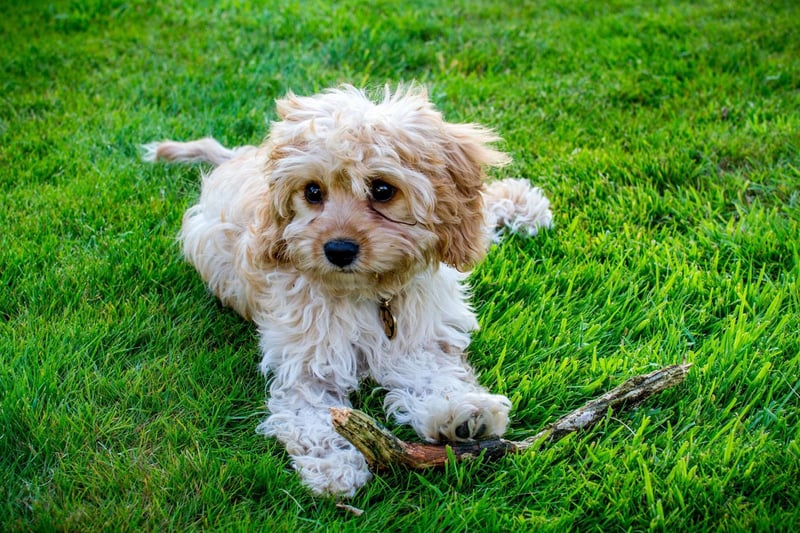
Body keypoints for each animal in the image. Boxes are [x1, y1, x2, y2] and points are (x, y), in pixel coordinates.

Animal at [142, 85, 552, 496]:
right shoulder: (307, 363)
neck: (370, 293)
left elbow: (434, 373)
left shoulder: (418, 338)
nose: (338, 250)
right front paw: (333, 465)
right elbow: (314, 416)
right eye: (312, 191)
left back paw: (523, 204)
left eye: (382, 189)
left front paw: (461, 414)